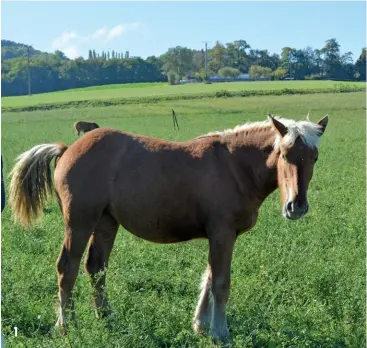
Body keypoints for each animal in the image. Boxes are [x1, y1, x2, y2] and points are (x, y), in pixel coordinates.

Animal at [8, 113, 330, 340]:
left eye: (314, 157)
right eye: (285, 155)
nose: (297, 206)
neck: (234, 166)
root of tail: (67, 149)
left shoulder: (218, 236)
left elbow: (209, 278)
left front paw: (200, 325)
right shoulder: (223, 234)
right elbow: (221, 283)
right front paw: (220, 332)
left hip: (106, 223)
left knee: (95, 267)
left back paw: (106, 317)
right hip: (80, 222)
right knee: (68, 267)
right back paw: (66, 325)